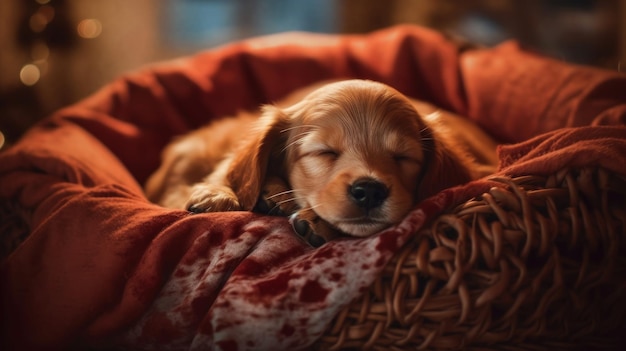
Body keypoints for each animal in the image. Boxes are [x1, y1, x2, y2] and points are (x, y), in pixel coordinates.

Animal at [144, 80, 494, 245]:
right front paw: (218, 194)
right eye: (325, 152)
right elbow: (228, 169)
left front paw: (316, 223)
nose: (369, 190)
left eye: (403, 157)